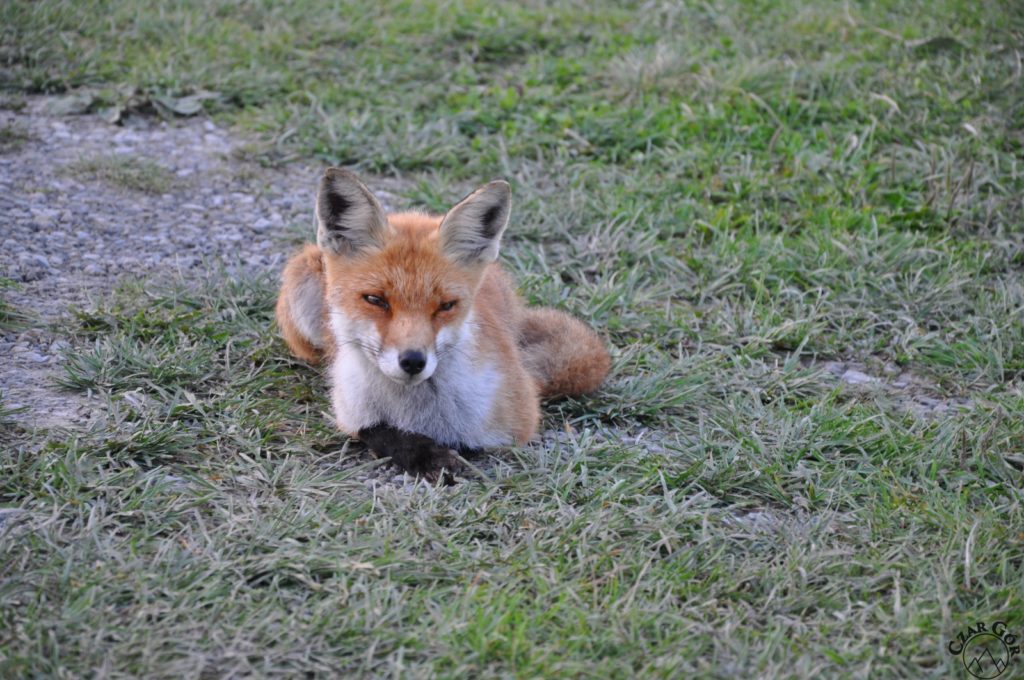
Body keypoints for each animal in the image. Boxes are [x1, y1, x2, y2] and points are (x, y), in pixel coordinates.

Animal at [274, 168, 606, 475]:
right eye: (375, 300)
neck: (413, 410)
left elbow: (471, 441)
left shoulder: (518, 421)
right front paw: (425, 456)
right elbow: (378, 432)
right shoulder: (350, 411)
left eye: (446, 306)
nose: (412, 361)